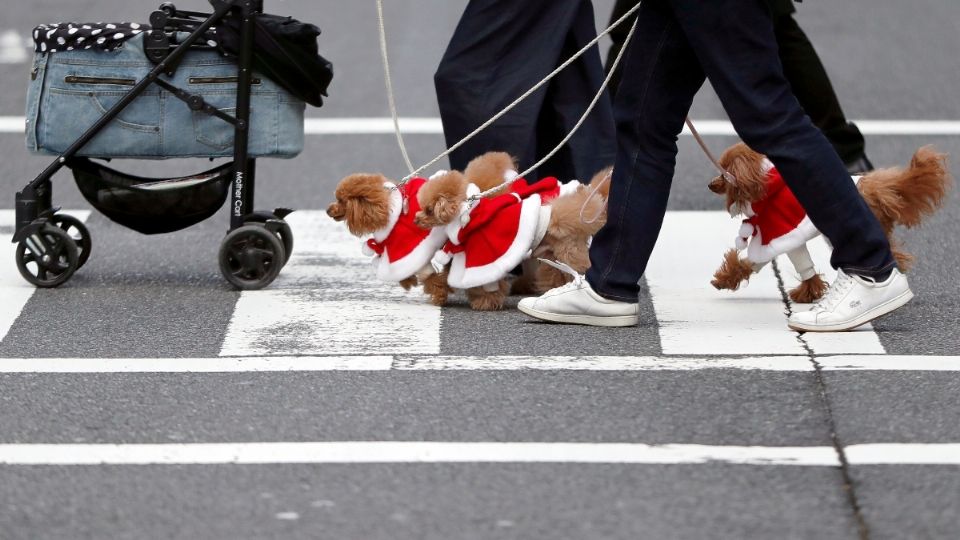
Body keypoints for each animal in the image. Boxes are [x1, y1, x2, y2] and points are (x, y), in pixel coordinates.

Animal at [708, 143, 948, 302]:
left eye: (723, 172)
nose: (710, 185)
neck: (766, 190)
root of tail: (873, 187)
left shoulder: (785, 236)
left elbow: (803, 267)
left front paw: (806, 294)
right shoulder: (770, 240)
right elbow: (751, 262)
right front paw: (724, 280)